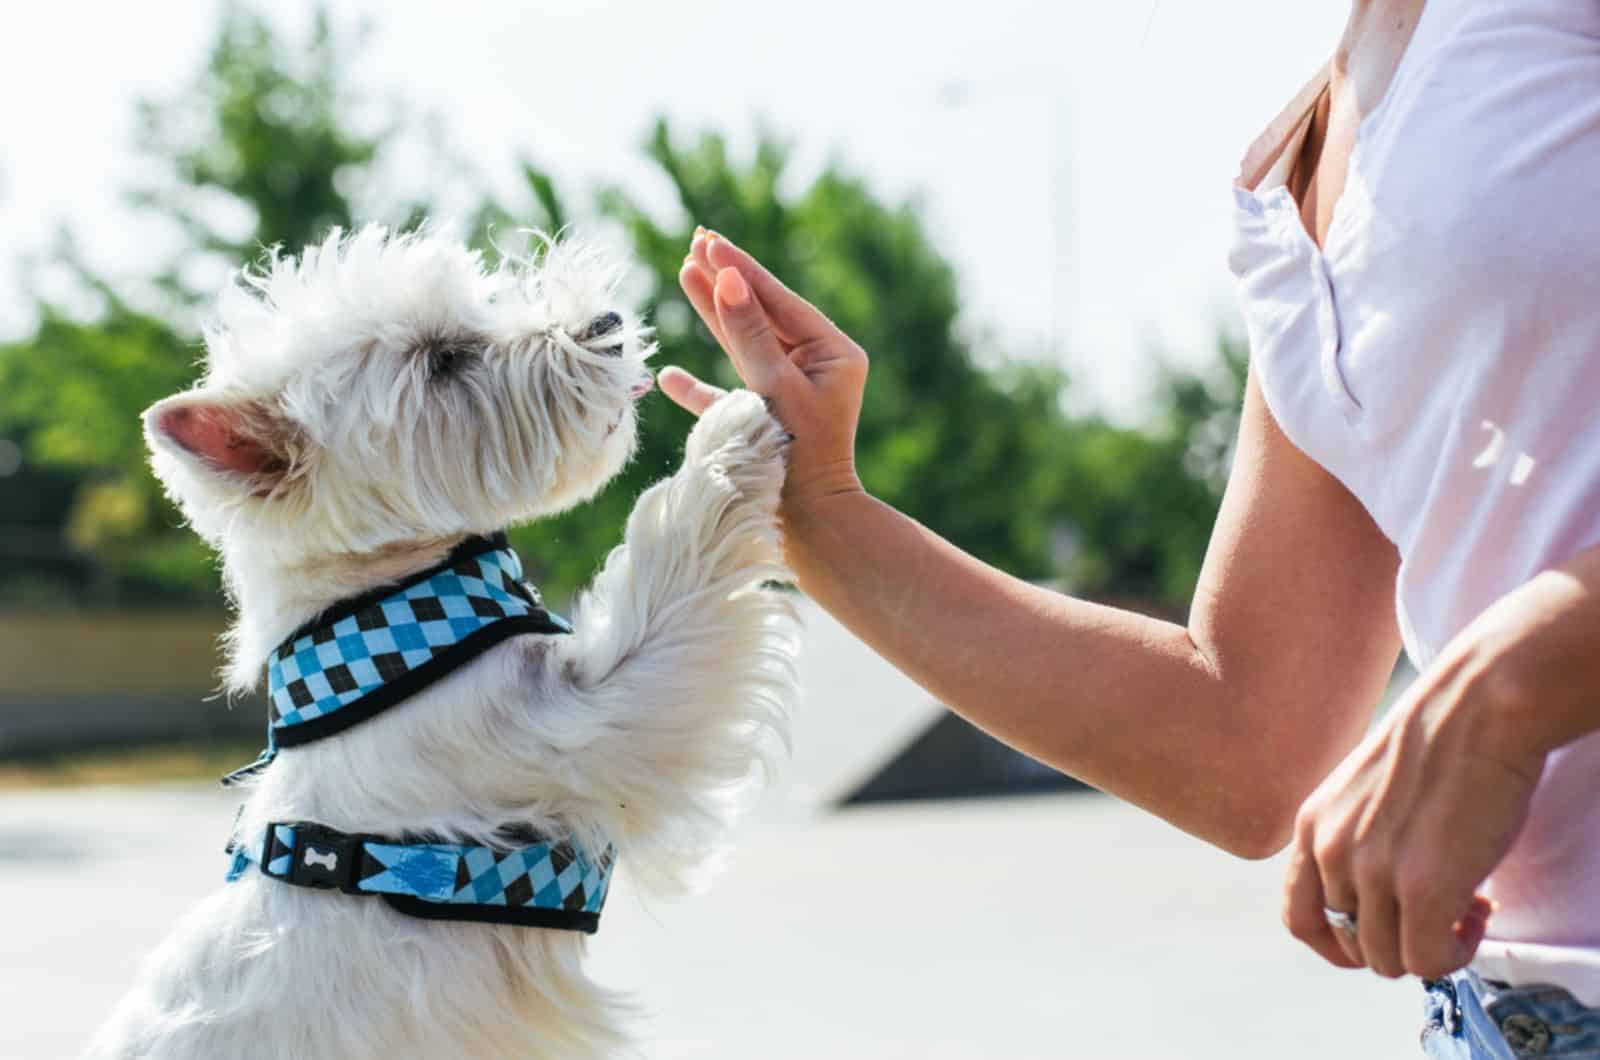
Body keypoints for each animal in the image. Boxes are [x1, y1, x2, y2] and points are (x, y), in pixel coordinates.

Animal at [90, 228, 800, 1056]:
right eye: (443, 361)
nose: (607, 323)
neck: (389, 621)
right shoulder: (579, 722)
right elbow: (670, 575)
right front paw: (731, 431)